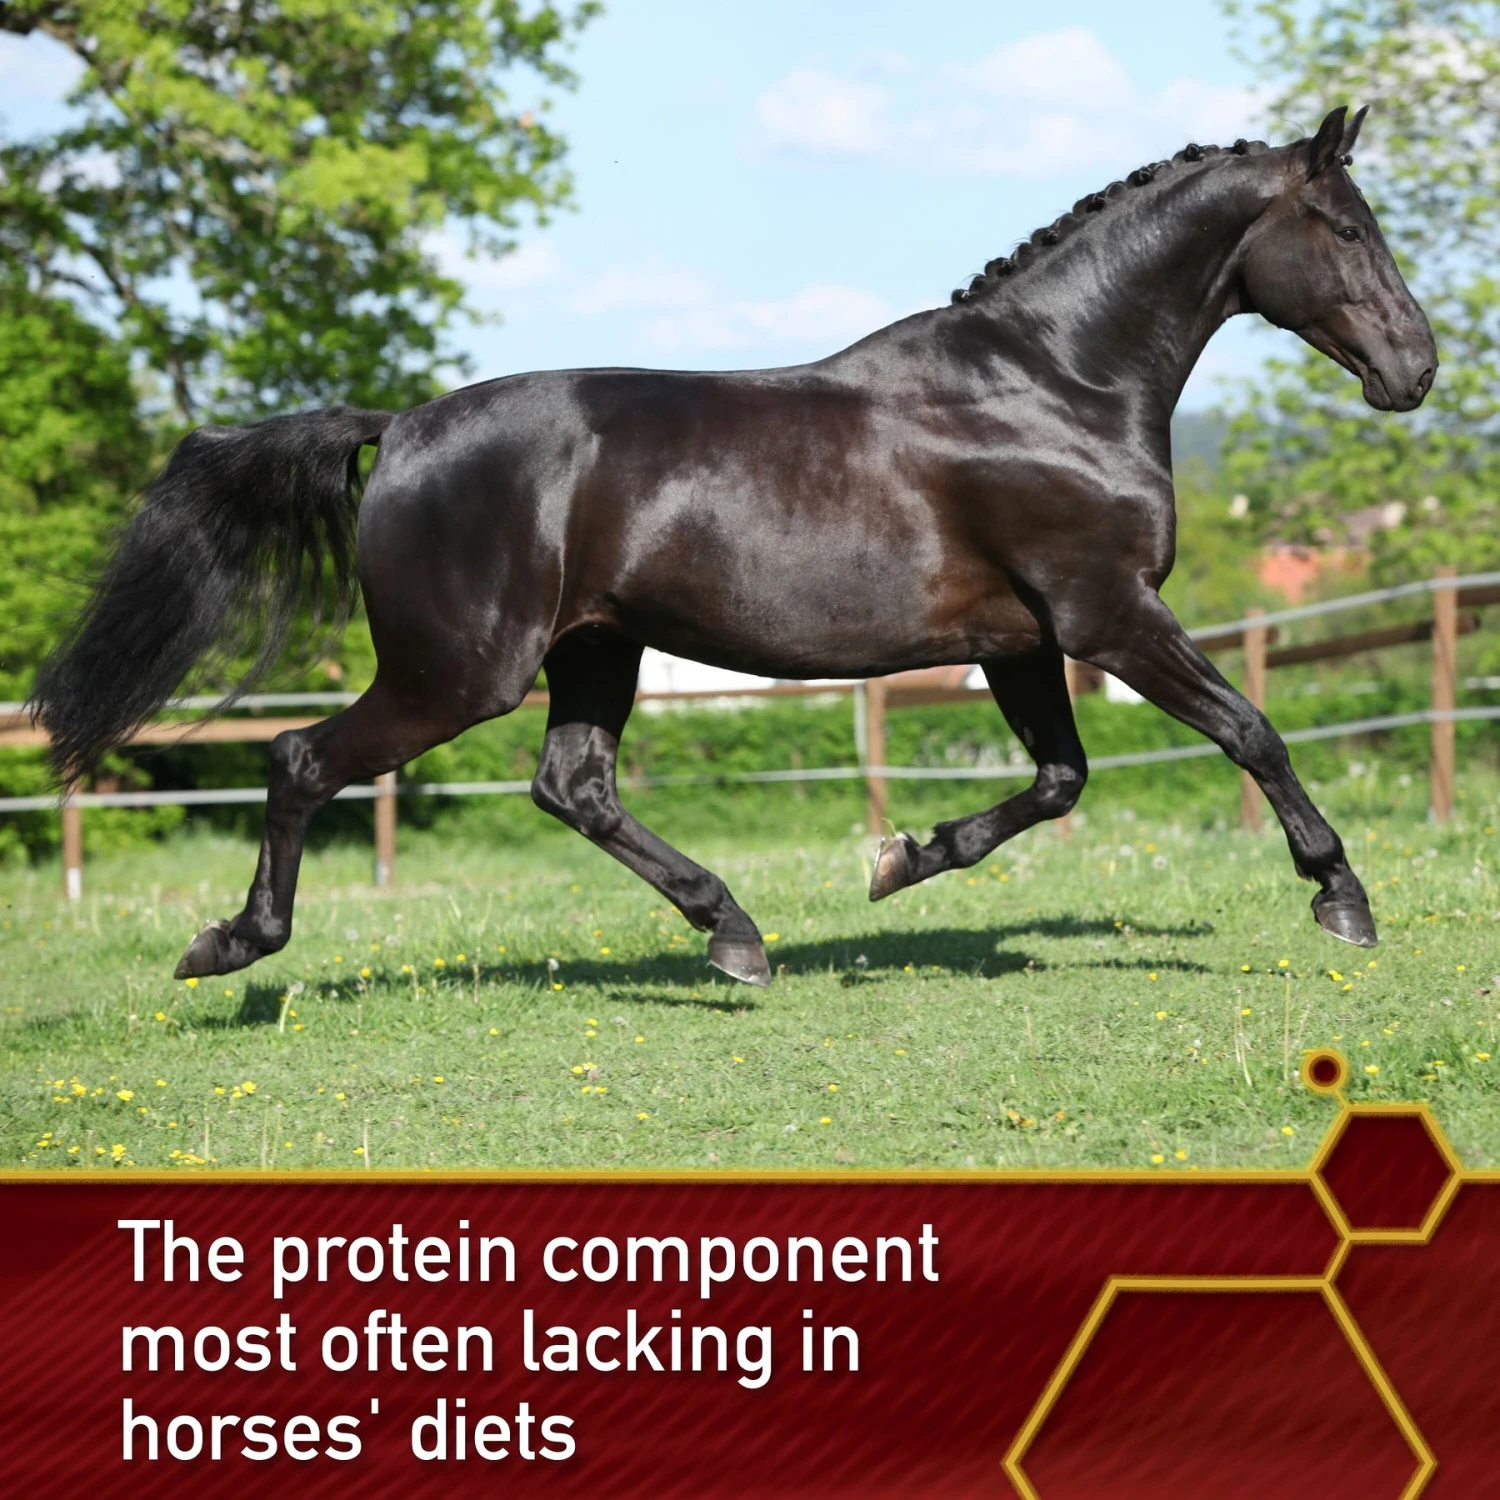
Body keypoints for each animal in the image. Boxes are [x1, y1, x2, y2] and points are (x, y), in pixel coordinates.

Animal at [31, 106, 1435, 987]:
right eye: (1350, 228)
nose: (1415, 370)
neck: (1055, 386)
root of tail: (403, 424)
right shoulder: (1109, 614)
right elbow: (1250, 730)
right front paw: (1344, 901)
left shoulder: (1023, 640)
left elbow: (1057, 782)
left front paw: (899, 862)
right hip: (458, 672)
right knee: (302, 759)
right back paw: (231, 946)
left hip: (593, 651)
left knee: (573, 788)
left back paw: (737, 937)